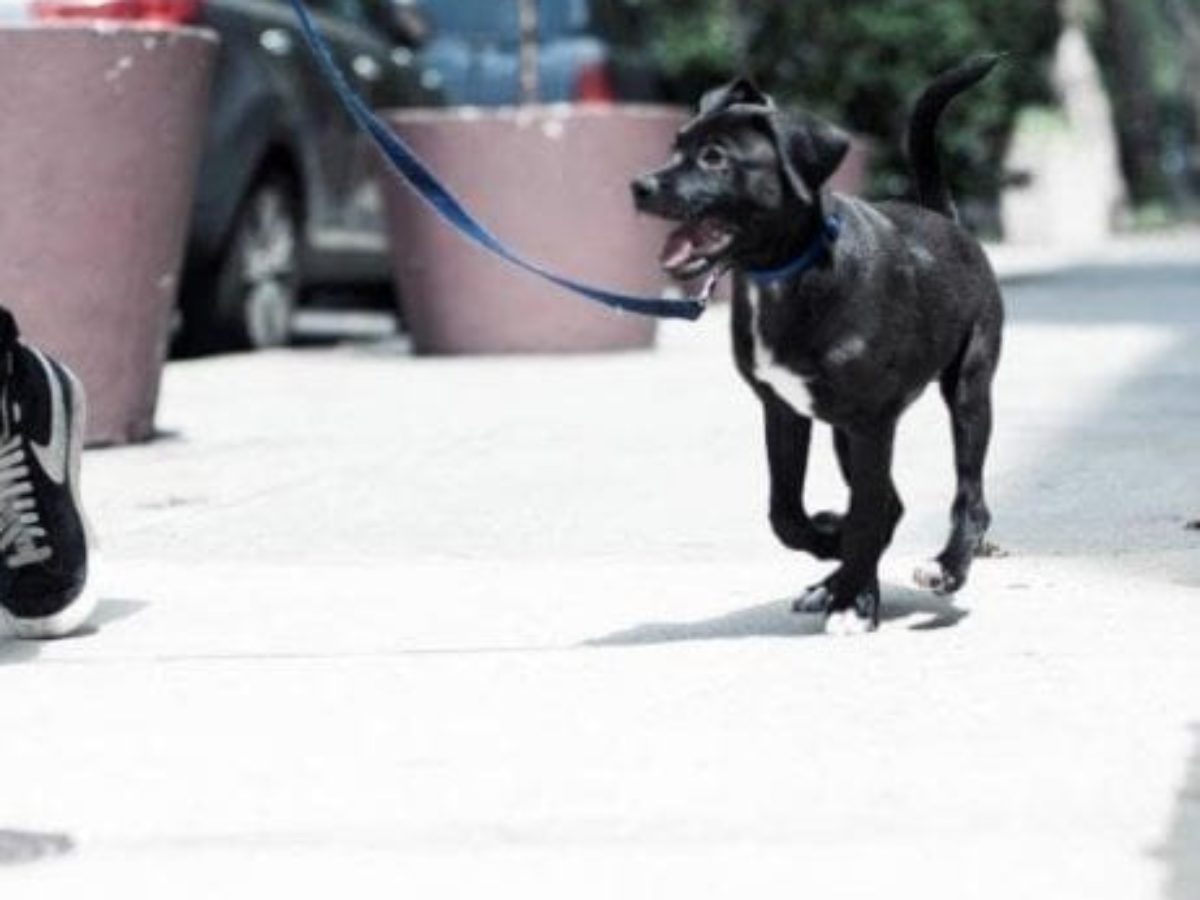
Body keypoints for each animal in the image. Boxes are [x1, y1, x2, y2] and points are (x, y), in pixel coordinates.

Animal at [633, 56, 1008, 638]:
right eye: (676, 145)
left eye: (715, 157)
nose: (640, 185)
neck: (787, 274)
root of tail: (946, 220)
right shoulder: (784, 410)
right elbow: (787, 512)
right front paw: (834, 551)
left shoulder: (873, 420)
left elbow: (866, 513)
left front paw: (854, 599)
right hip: (841, 430)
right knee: (889, 504)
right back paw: (835, 579)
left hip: (968, 389)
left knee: (968, 497)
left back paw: (943, 569)